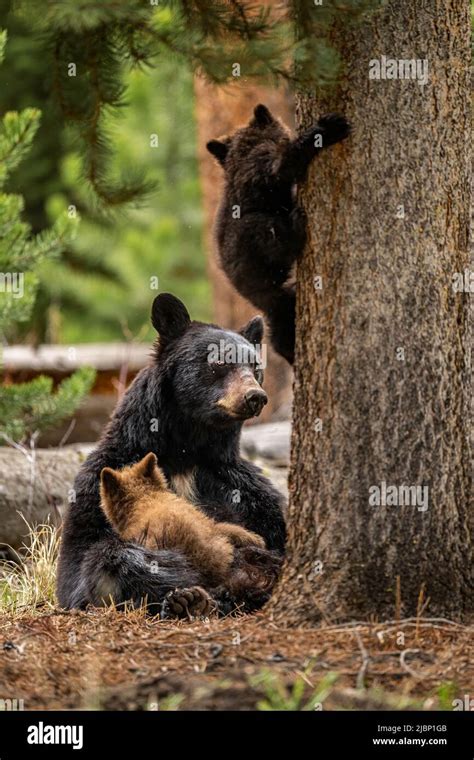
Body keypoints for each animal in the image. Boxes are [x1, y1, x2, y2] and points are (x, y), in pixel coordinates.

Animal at [55, 290, 286, 616]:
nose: (254, 396)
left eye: (255, 367)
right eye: (219, 361)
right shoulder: (99, 480)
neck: (184, 452)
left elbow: (271, 530)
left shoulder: (245, 491)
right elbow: (78, 561)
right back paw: (189, 597)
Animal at [208, 104, 352, 366]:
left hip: (279, 308)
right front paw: (329, 128)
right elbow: (282, 165)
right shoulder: (260, 166)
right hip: (253, 241)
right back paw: (296, 223)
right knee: (270, 236)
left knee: (280, 336)